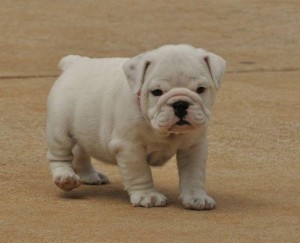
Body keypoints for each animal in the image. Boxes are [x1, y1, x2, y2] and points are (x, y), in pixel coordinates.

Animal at [46, 44, 225, 210]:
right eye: (156, 91)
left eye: (201, 89)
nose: (180, 104)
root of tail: (73, 63)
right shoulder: (129, 148)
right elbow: (140, 172)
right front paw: (148, 196)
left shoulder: (193, 147)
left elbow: (193, 174)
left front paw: (196, 197)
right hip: (60, 131)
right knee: (60, 156)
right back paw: (66, 178)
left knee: (81, 151)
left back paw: (90, 175)